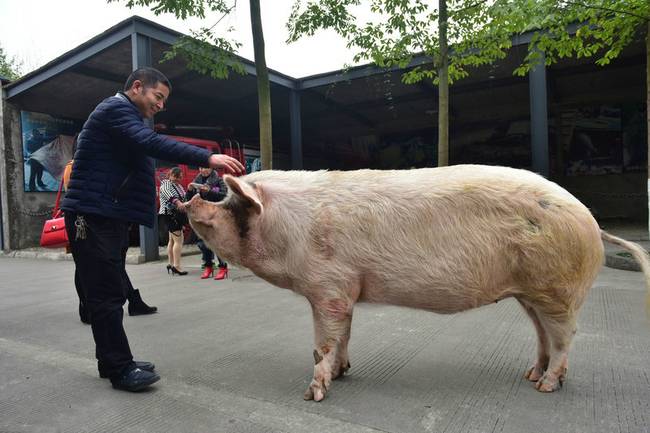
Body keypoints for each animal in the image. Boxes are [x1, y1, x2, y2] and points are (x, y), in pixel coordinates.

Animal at [182, 165, 648, 402]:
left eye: (228, 200)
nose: (190, 197)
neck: (288, 226)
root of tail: (591, 221)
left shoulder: (328, 286)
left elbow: (323, 343)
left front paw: (312, 393)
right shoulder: (346, 290)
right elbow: (344, 334)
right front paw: (345, 374)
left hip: (557, 289)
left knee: (566, 336)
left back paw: (548, 386)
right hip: (530, 294)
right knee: (543, 335)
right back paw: (530, 375)